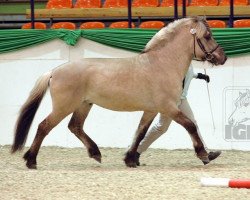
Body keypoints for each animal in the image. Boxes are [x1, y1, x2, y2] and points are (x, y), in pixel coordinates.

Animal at [11, 17, 227, 170]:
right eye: (208, 36)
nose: (222, 57)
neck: (161, 64)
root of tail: (54, 71)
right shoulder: (168, 108)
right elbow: (190, 125)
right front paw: (204, 154)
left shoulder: (151, 110)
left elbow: (140, 133)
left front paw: (130, 159)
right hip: (64, 107)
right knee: (43, 126)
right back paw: (31, 161)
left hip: (84, 105)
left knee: (75, 127)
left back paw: (95, 153)